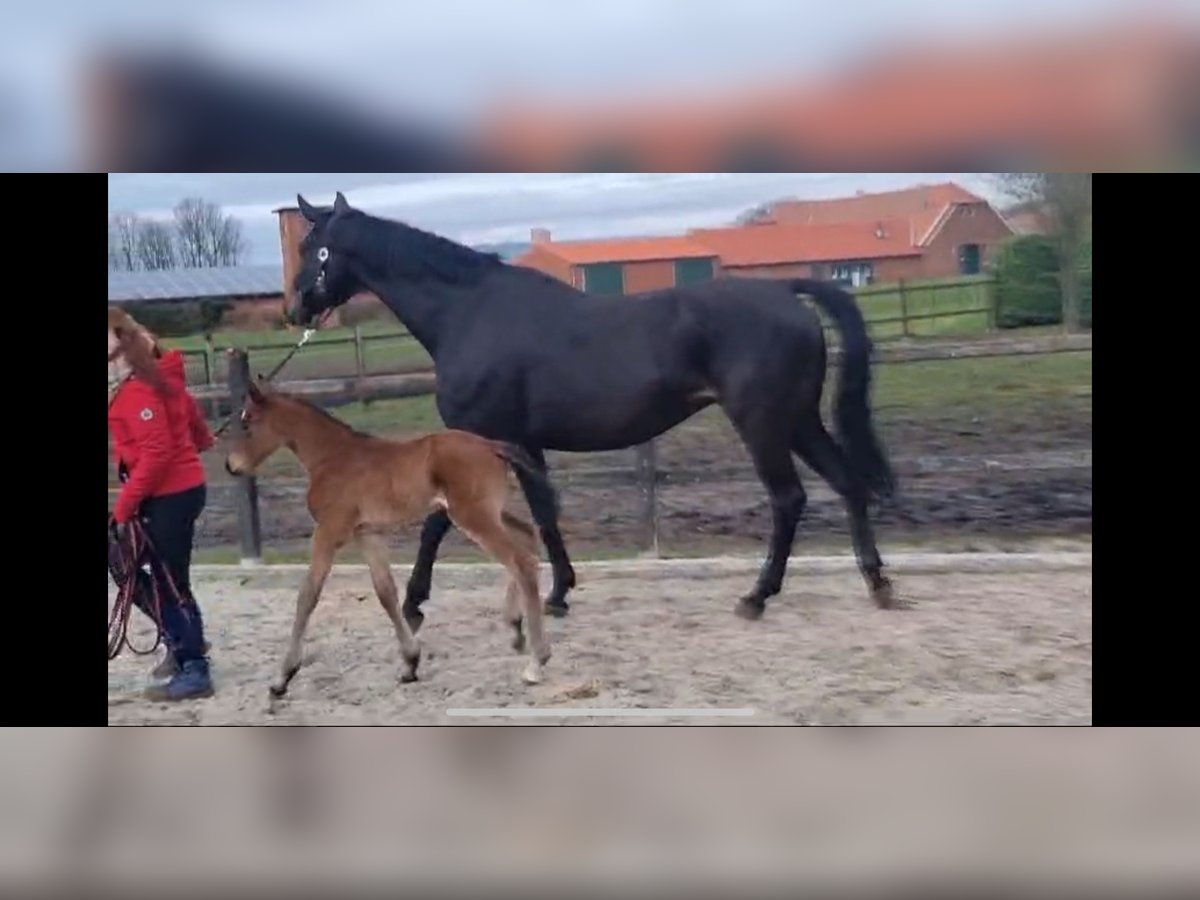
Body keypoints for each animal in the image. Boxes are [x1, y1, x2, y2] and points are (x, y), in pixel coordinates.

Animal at [225, 381, 556, 696]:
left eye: (247, 423)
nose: (231, 465)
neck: (332, 456)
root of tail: (492, 445)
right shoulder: (367, 533)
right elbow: (385, 592)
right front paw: (410, 663)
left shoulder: (329, 531)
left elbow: (308, 595)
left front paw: (282, 678)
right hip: (489, 512)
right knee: (527, 536)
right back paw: (515, 628)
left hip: (473, 516)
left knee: (520, 561)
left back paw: (536, 662)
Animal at [285, 194, 897, 628]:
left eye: (313, 246)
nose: (294, 308)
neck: (470, 313)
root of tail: (787, 292)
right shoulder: (522, 443)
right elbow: (546, 512)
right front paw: (559, 593)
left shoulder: (476, 435)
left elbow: (440, 519)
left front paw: (414, 602)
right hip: (798, 420)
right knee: (847, 483)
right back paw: (876, 583)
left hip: (763, 423)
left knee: (788, 499)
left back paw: (757, 596)